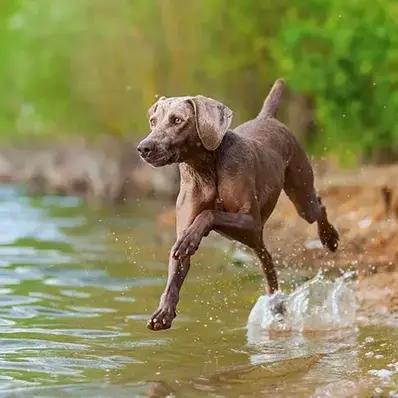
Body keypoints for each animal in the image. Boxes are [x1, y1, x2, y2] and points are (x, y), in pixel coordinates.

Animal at [137, 79, 338, 332]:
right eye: (153, 121)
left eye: (177, 120)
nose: (144, 148)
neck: (206, 169)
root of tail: (267, 117)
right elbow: (177, 265)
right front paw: (164, 313)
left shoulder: (250, 220)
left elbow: (209, 214)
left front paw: (191, 239)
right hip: (255, 240)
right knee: (267, 261)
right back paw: (276, 305)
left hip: (299, 197)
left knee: (318, 207)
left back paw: (330, 238)